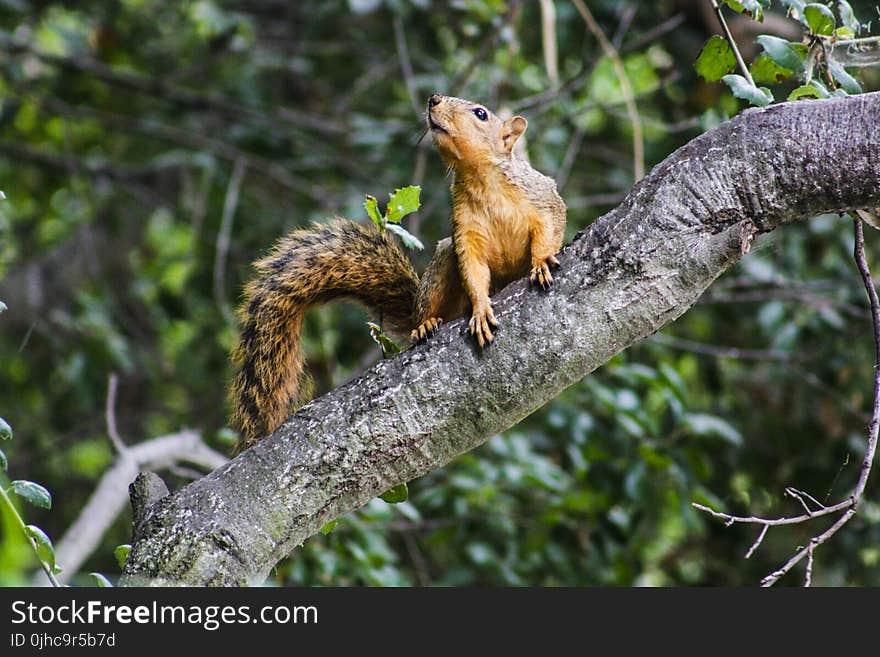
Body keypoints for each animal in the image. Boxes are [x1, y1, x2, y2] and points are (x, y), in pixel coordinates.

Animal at [229, 93, 564, 452]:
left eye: (481, 114)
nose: (434, 99)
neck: (482, 181)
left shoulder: (541, 197)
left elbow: (549, 228)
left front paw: (542, 262)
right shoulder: (465, 233)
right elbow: (473, 271)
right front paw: (480, 310)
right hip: (443, 264)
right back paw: (425, 324)